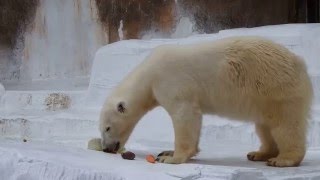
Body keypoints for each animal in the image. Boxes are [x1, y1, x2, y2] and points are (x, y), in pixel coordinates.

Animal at [99, 36, 312, 167]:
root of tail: (300, 62)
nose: (106, 148)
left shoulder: (171, 81)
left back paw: (283, 159)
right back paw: (259, 153)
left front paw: (171, 158)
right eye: (102, 129)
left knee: (284, 125)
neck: (149, 74)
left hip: (275, 87)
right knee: (264, 126)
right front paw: (166, 152)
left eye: (107, 128)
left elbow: (185, 115)